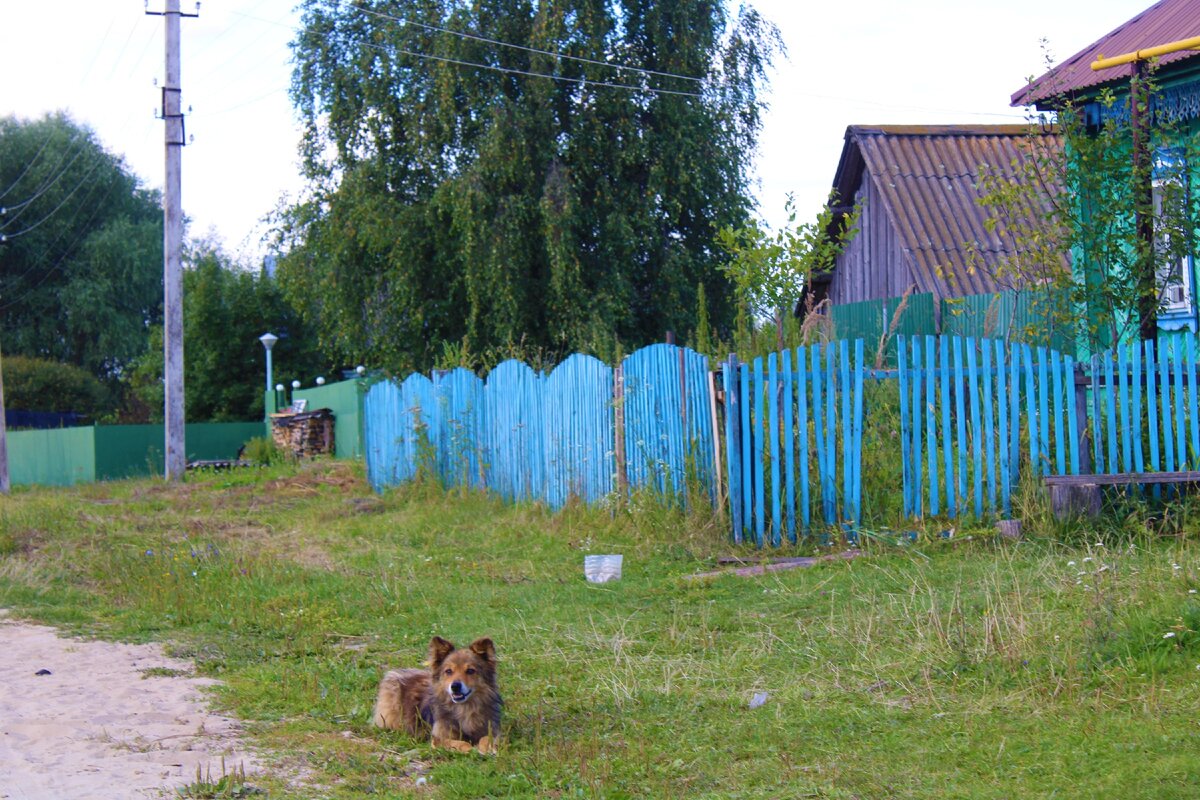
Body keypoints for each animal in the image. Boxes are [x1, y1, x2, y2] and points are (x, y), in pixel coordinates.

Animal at [369, 633, 501, 753]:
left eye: (470, 671)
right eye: (448, 671)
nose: (455, 686)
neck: (464, 708)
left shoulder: (492, 729)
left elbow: (486, 738)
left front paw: (486, 748)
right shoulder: (438, 738)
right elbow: (461, 743)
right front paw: (470, 748)